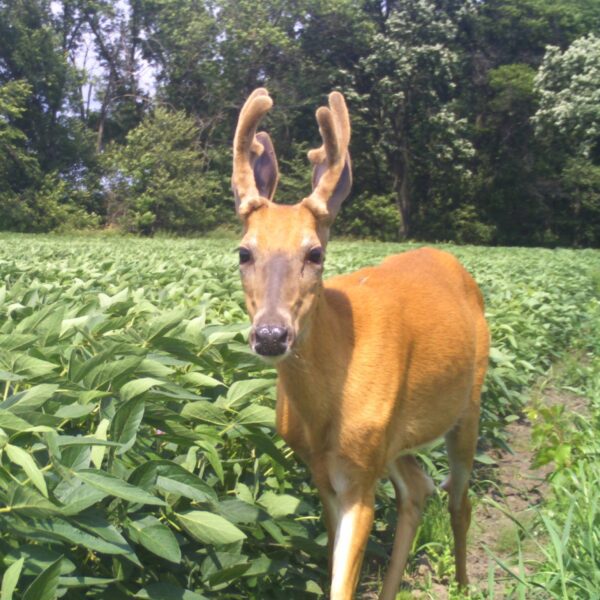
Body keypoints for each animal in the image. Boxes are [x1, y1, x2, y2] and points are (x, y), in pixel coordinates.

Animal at [230, 89, 488, 600]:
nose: (271, 335)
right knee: (418, 490)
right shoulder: (325, 469)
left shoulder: (360, 476)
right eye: (244, 252)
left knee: (458, 500)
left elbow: (342, 582)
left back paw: (464, 584)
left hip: (468, 407)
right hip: (395, 439)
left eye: (315, 253)